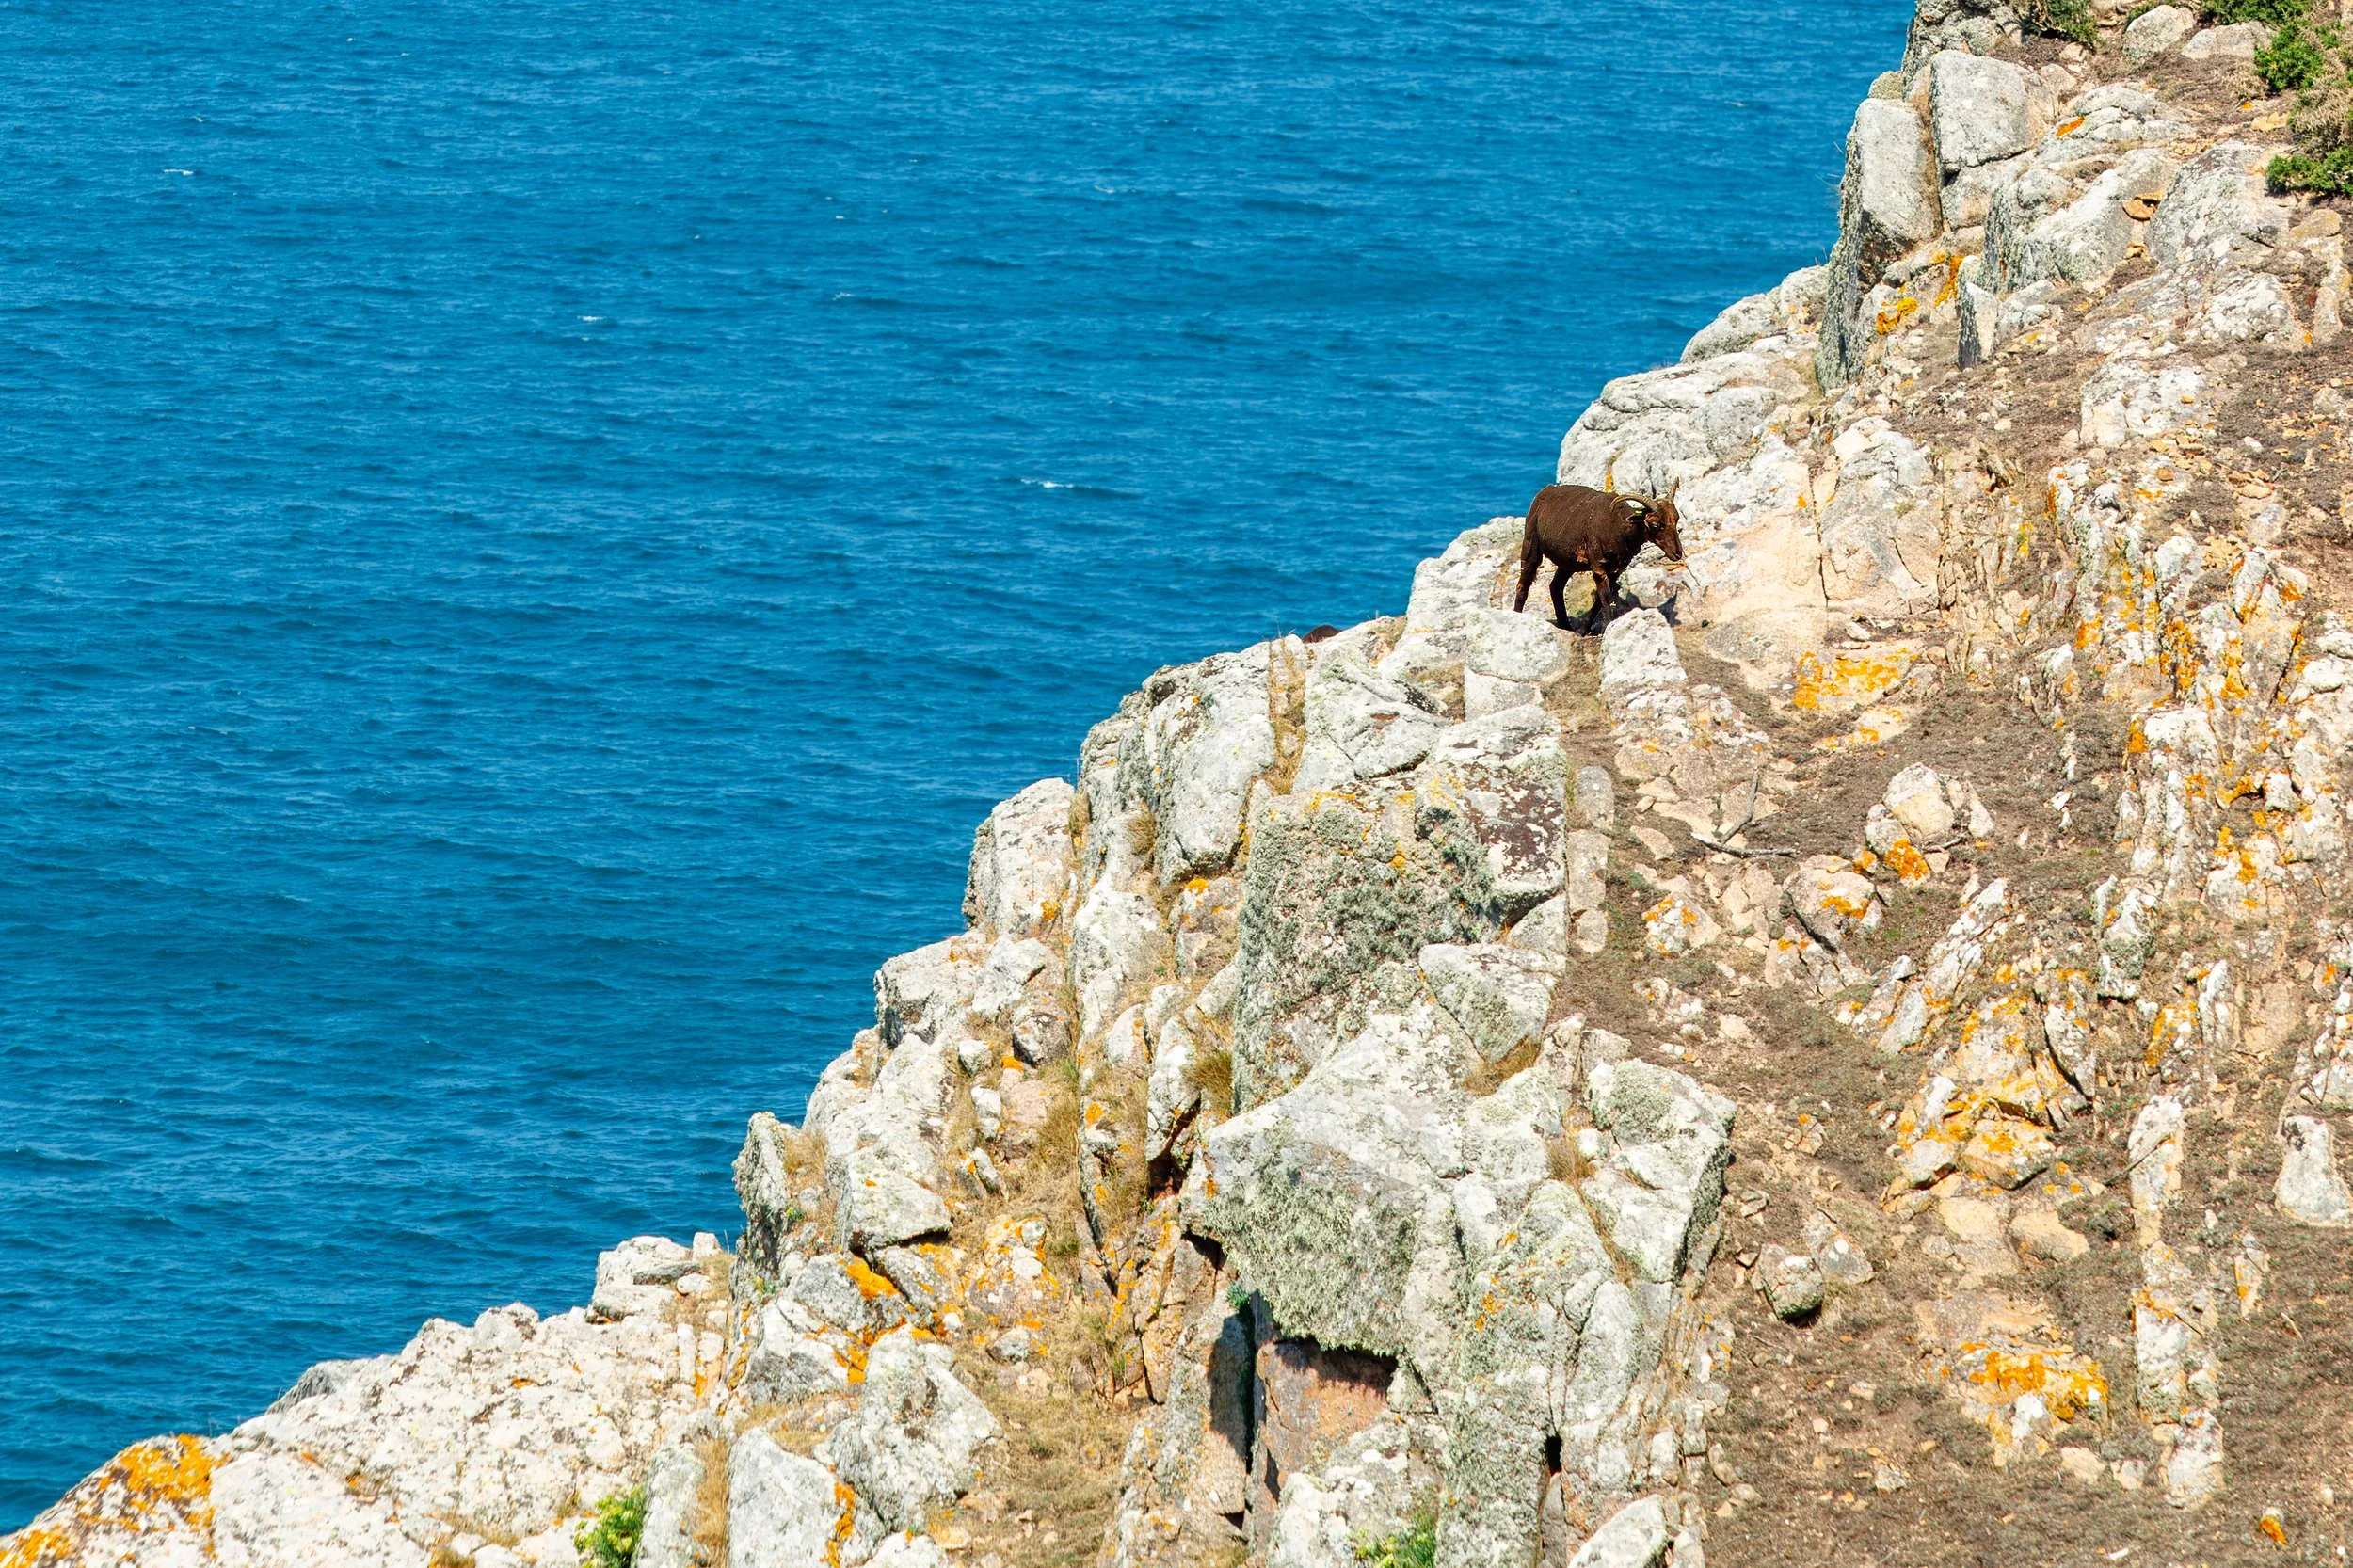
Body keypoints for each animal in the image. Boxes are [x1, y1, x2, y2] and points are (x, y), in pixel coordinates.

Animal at [1512, 482, 1684, 631]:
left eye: (1676, 520)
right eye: (1655, 525)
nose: (1677, 553)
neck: (1618, 527)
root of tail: (1545, 491)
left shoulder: (1616, 569)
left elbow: (1599, 602)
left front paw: (1583, 630)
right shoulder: (1598, 565)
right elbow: (1605, 597)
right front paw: (1607, 626)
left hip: (1568, 562)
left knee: (1555, 587)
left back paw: (1566, 626)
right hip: (1531, 543)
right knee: (1523, 585)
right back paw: (1517, 615)